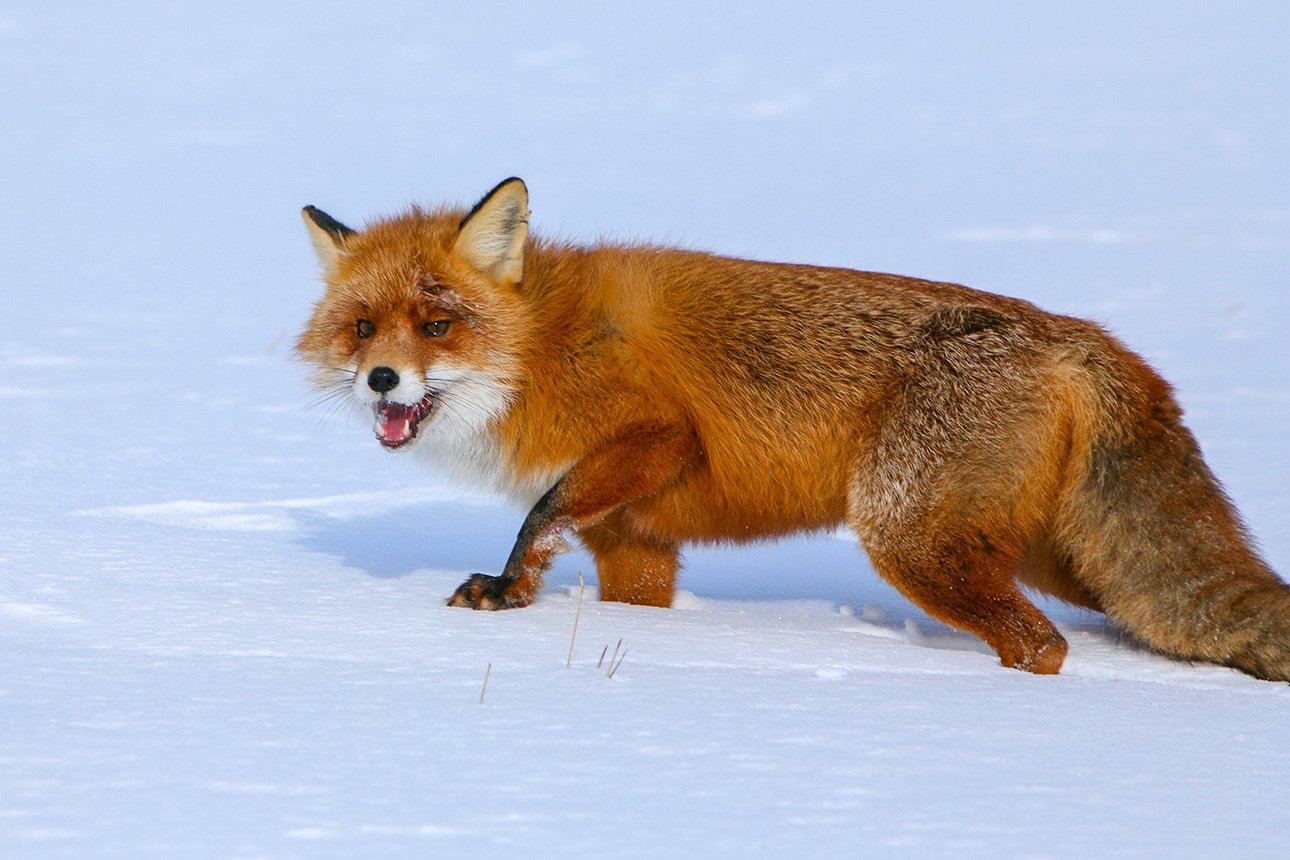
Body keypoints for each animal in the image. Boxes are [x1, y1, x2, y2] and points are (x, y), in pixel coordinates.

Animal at [296, 177, 1290, 680]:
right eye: (362, 328)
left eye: (437, 326)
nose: (381, 378)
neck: (542, 347)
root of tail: (1078, 333)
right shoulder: (634, 541)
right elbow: (615, 586)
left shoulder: (659, 436)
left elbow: (539, 516)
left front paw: (505, 592)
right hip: (1065, 560)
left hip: (913, 540)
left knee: (1041, 645)